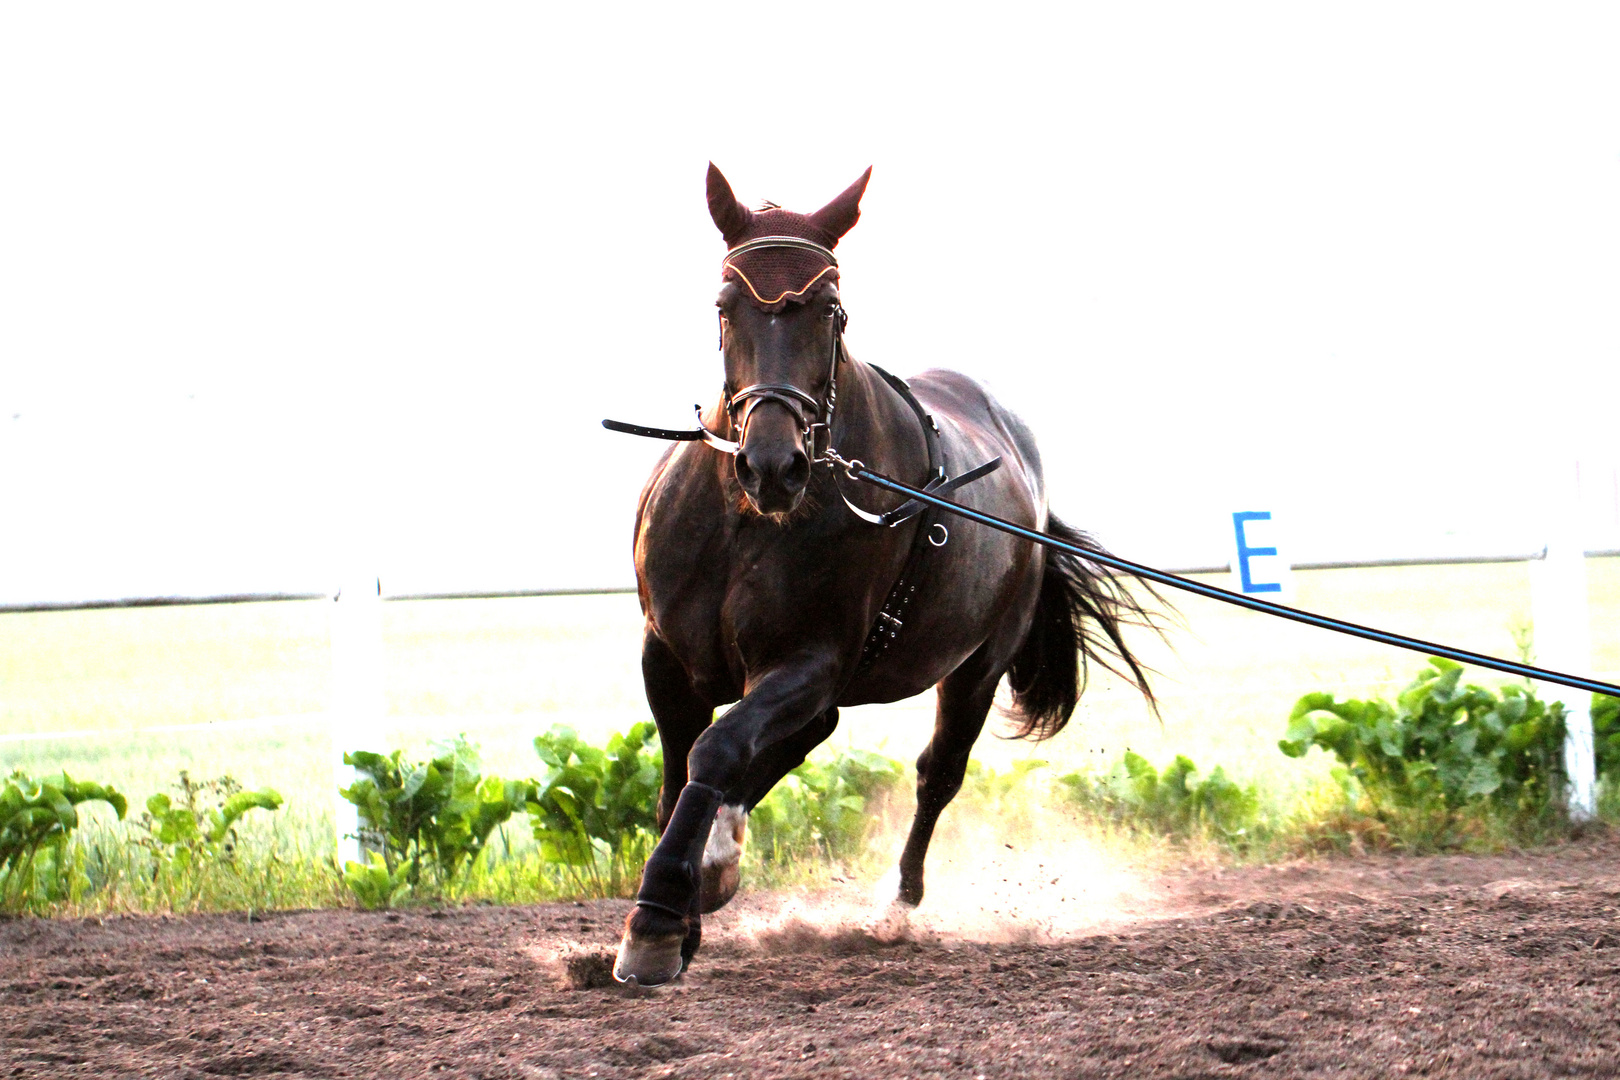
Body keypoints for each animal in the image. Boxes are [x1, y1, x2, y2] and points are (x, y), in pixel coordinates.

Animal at [612, 165, 1159, 984]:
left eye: (832, 311)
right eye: (725, 305)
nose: (773, 464)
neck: (746, 522)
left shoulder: (810, 659)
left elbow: (719, 751)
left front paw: (656, 918)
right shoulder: (668, 655)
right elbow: (682, 770)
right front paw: (678, 913)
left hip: (976, 667)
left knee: (936, 774)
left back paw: (894, 904)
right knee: (807, 736)